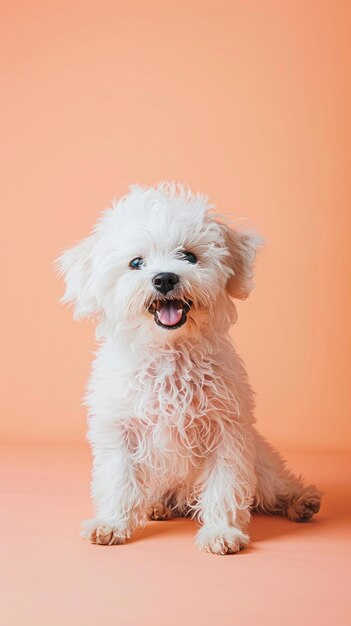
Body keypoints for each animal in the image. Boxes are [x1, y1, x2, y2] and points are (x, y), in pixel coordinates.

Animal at [56, 183, 324, 552]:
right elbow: (118, 480)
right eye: (136, 263)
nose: (165, 278)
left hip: (263, 465)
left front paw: (221, 531)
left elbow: (226, 485)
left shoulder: (226, 431)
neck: (170, 353)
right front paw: (112, 523)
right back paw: (155, 506)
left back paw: (301, 501)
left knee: (275, 487)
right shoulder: (119, 430)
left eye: (189, 256)